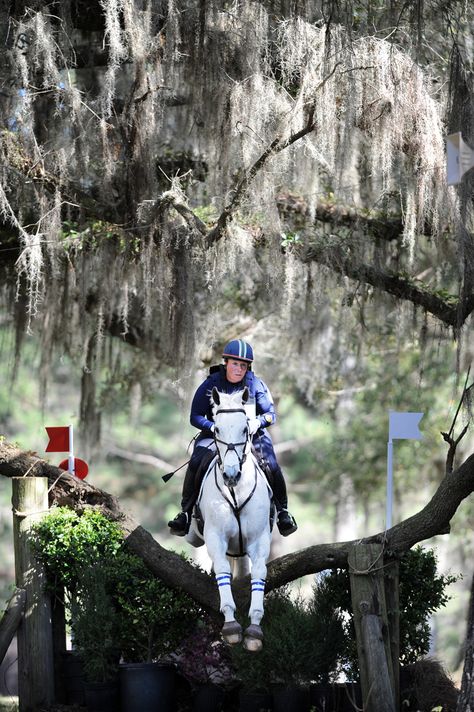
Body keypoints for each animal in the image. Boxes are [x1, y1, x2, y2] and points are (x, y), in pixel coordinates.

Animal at [186, 386, 272, 652]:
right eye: (216, 429)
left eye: (245, 428)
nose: (231, 475)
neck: (236, 490)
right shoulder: (216, 536)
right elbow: (223, 571)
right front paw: (231, 625)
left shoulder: (258, 539)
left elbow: (259, 573)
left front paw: (254, 629)